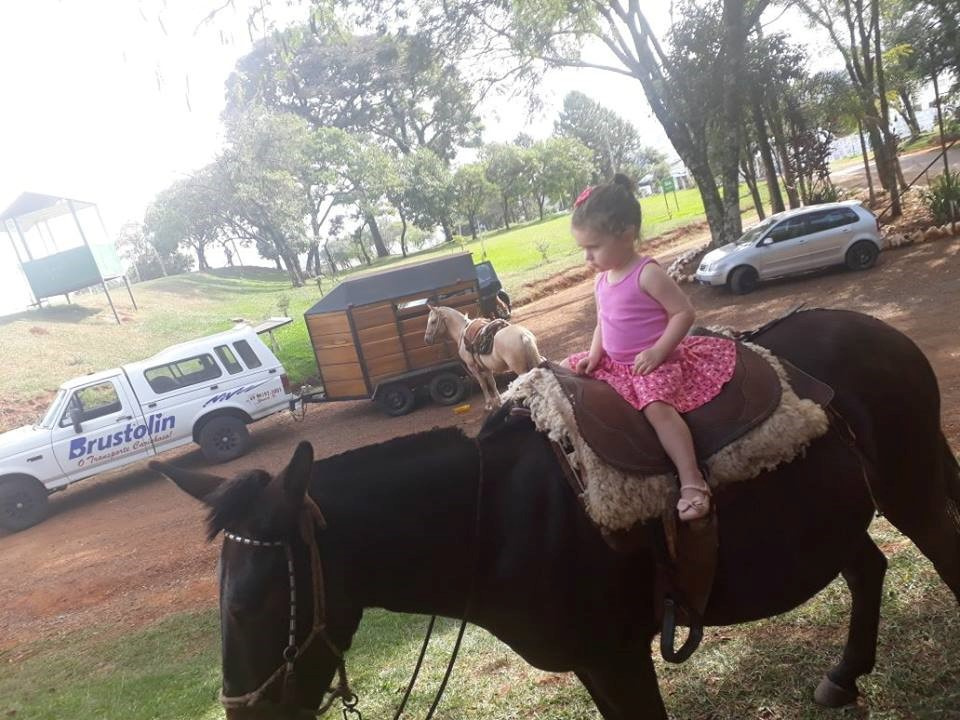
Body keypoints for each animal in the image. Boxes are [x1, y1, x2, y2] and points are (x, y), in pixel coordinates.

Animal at [153, 309, 960, 720]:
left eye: (251, 605)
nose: (244, 716)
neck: (494, 520)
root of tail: (880, 329)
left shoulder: (618, 657)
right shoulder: (594, 663)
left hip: (911, 482)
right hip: (833, 515)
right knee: (869, 567)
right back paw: (844, 676)